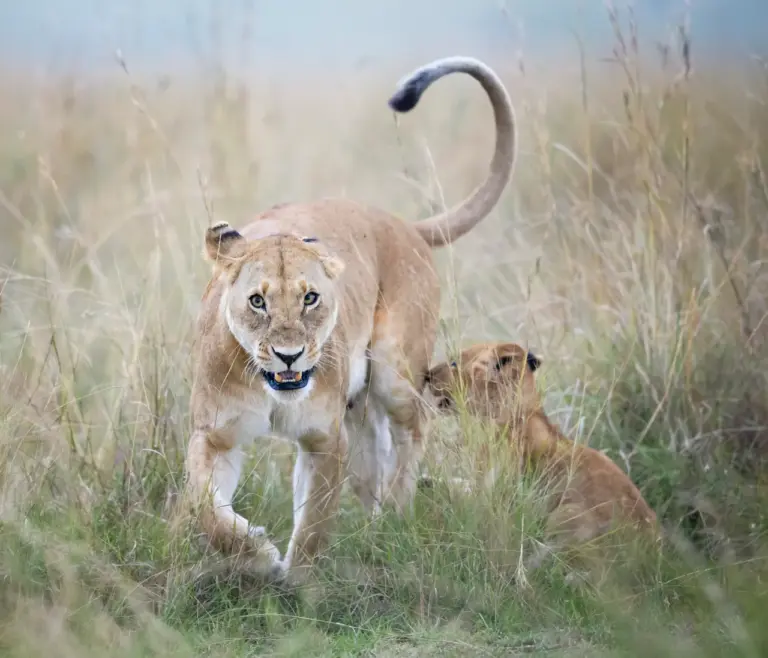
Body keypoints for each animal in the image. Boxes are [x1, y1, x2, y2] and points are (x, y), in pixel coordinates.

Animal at [186, 56, 518, 578]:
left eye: (310, 298)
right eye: (257, 302)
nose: (288, 356)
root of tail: (404, 224)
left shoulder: (326, 440)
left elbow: (315, 521)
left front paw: (298, 581)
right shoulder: (214, 434)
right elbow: (206, 511)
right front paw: (257, 554)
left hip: (393, 372)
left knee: (414, 428)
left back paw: (397, 514)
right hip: (357, 406)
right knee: (374, 457)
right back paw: (374, 525)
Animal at [423, 342, 659, 573]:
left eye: (454, 362)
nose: (427, 374)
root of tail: (653, 556)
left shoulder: (493, 498)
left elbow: (453, 492)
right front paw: (426, 480)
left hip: (566, 515)